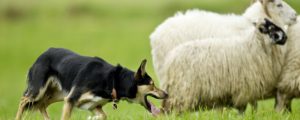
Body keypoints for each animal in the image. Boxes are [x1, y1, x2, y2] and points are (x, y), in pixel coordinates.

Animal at [15, 48, 169, 120]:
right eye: (152, 84)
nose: (167, 94)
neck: (114, 81)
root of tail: (43, 54)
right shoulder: (71, 100)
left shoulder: (93, 105)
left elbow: (103, 116)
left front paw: (91, 118)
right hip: (39, 90)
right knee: (23, 100)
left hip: (58, 94)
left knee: (42, 105)